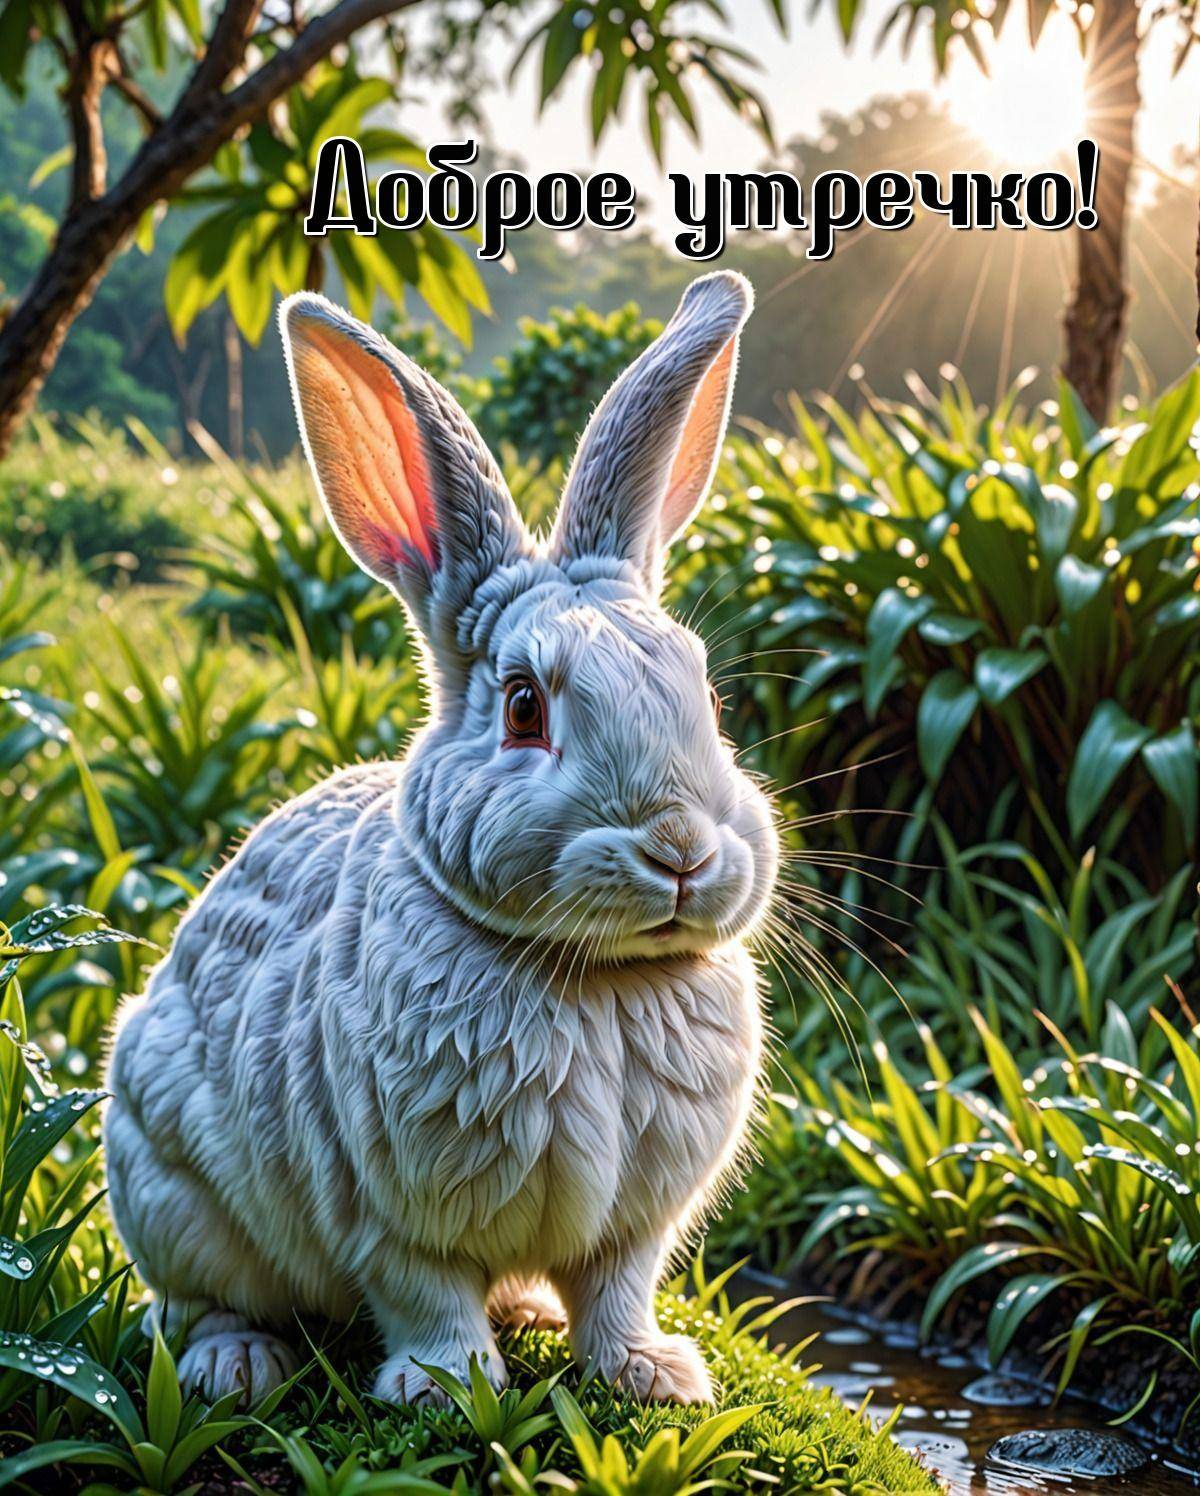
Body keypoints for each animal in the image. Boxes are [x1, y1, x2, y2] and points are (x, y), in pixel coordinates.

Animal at [103, 268, 778, 1410]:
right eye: (523, 708)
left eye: (710, 695)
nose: (682, 848)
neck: (593, 975)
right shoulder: (383, 1201)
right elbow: (424, 1290)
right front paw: (449, 1388)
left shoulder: (635, 1224)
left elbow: (617, 1288)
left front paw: (653, 1376)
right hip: (171, 1195)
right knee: (198, 1302)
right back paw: (238, 1365)